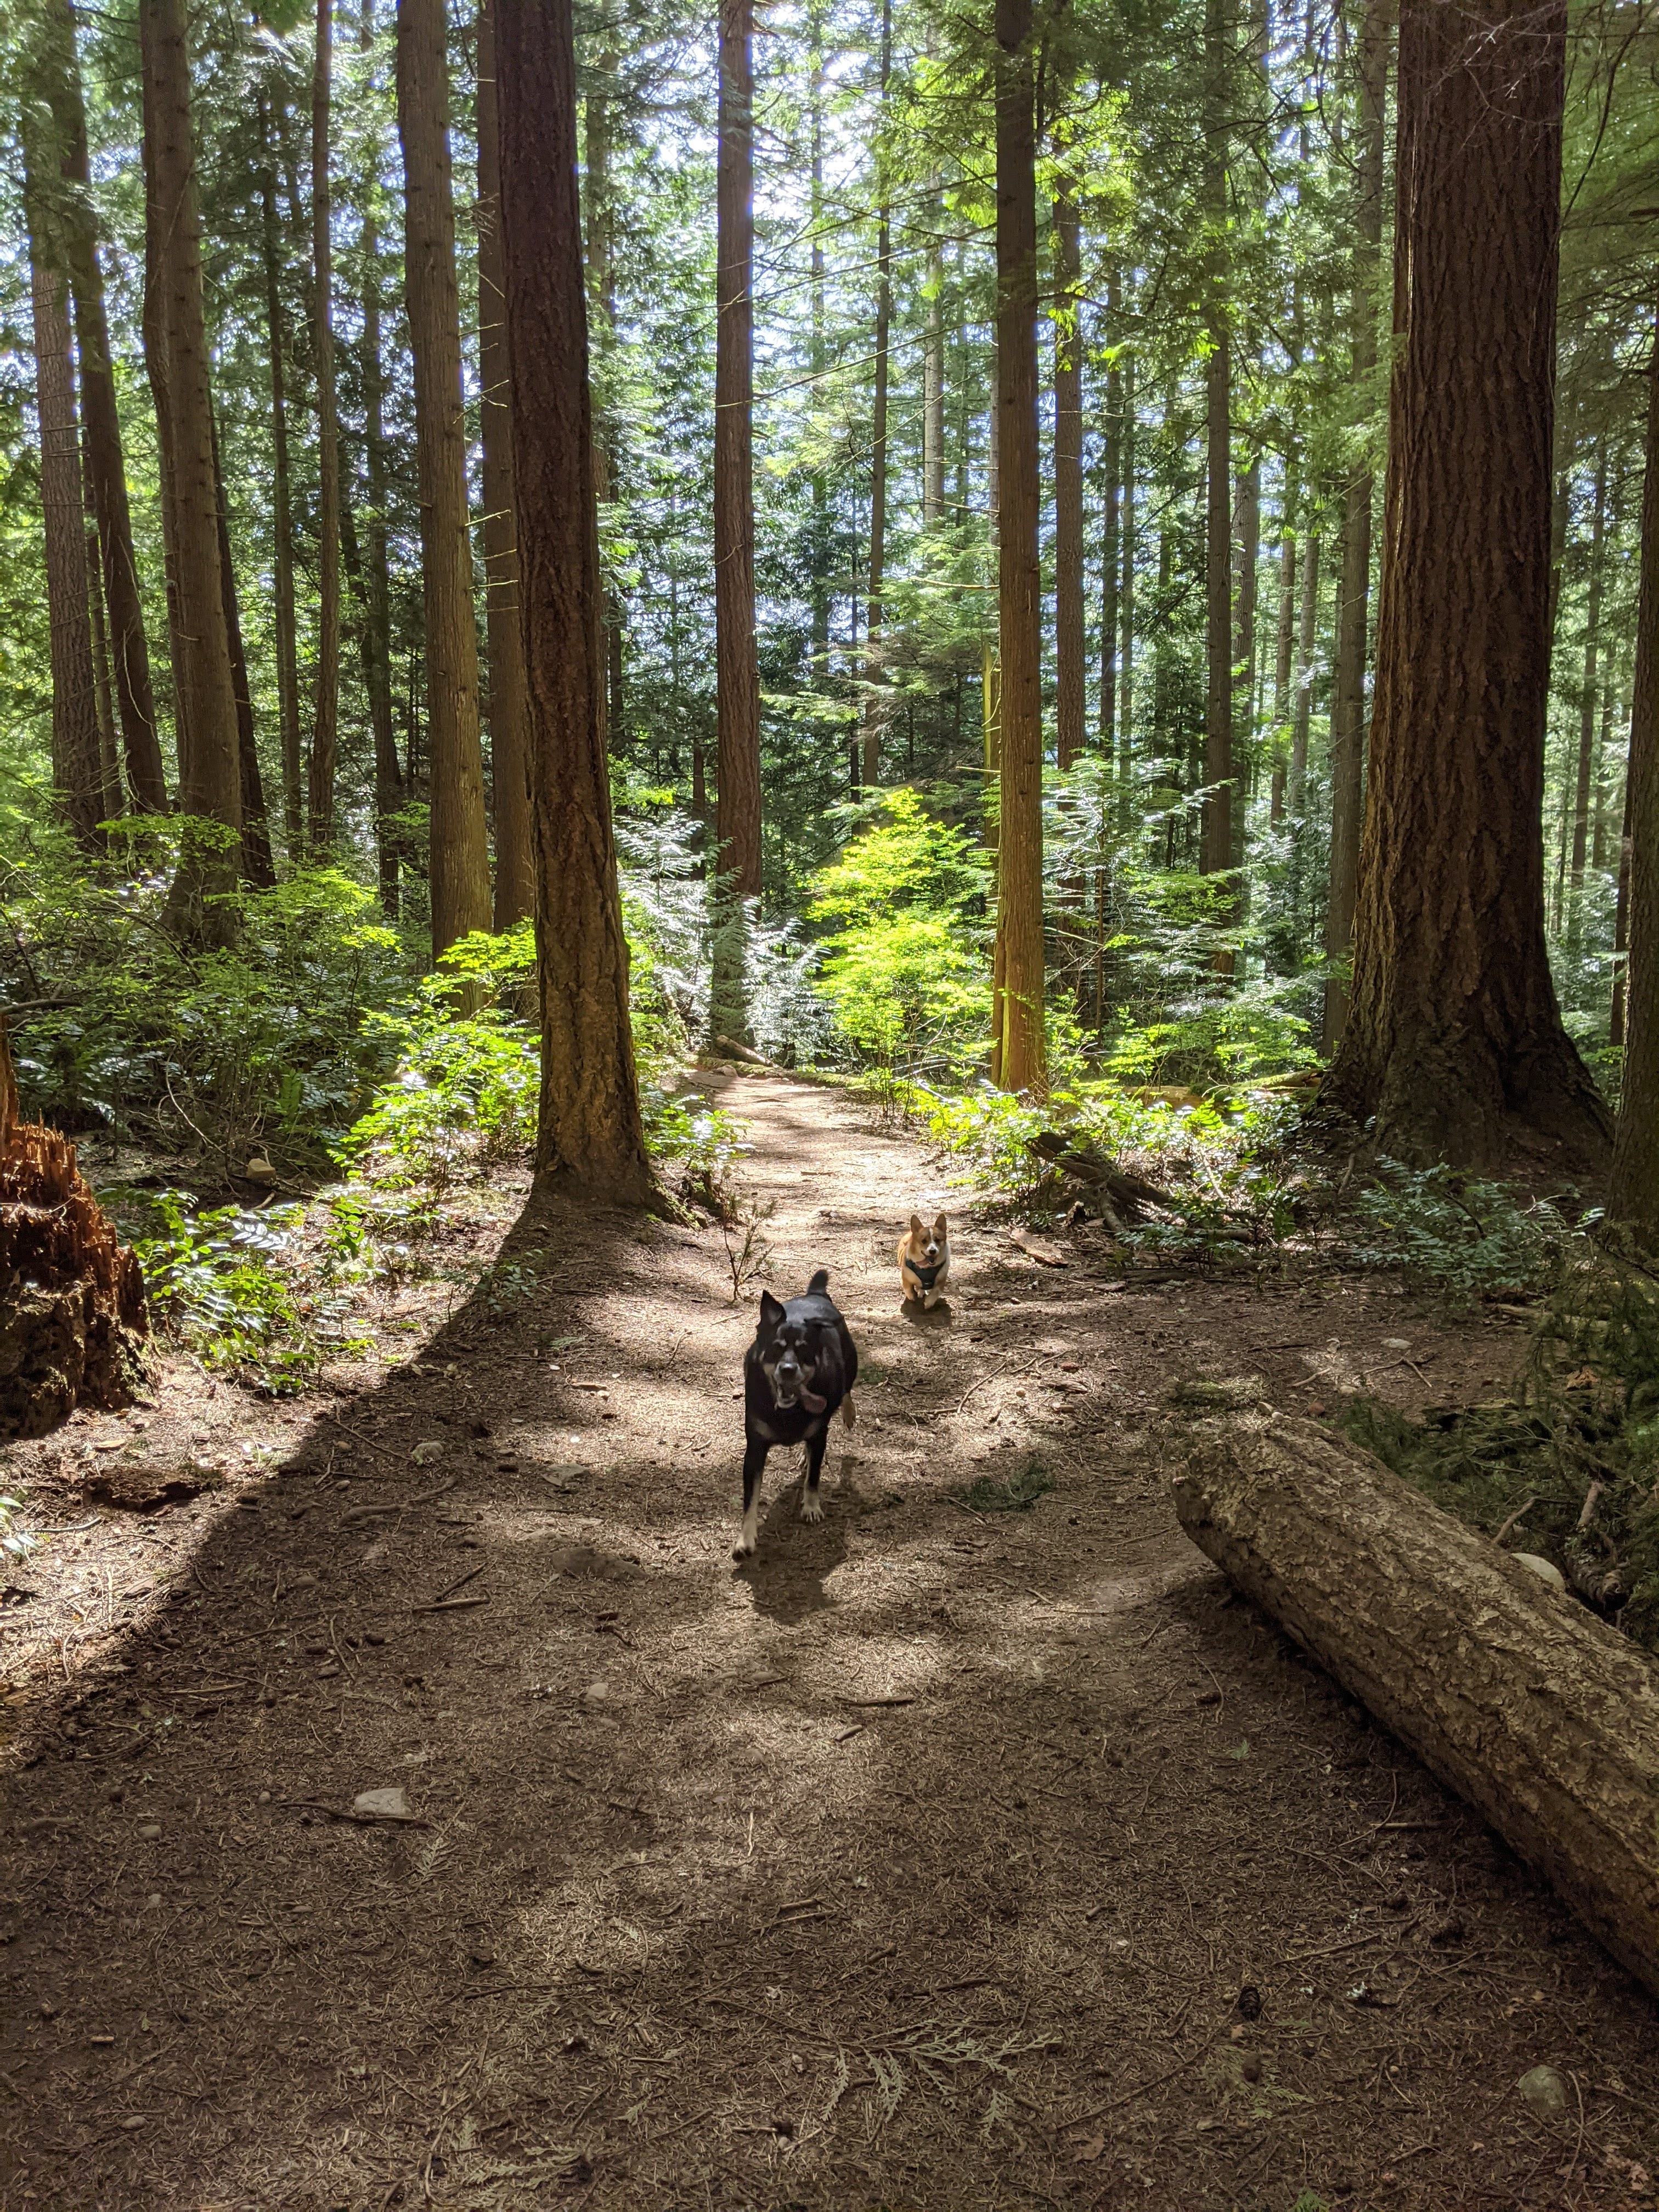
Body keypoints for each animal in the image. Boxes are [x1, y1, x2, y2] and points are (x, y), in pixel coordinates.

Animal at [738, 1274, 858, 1566]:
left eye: (804, 1351)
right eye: (776, 1348)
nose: (788, 1369)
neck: (788, 1412)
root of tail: (815, 1293)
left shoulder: (819, 1434)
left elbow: (813, 1477)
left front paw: (811, 1506)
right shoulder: (755, 1449)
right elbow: (751, 1497)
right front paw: (745, 1539)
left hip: (851, 1365)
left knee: (847, 1391)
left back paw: (848, 1413)